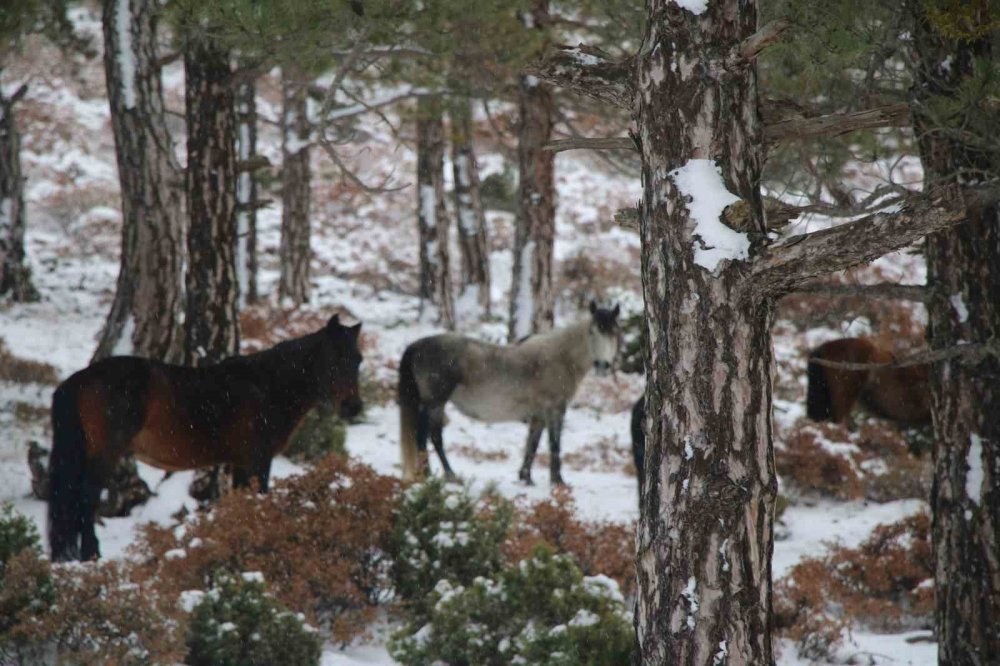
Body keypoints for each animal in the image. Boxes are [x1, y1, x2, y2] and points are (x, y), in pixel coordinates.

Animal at [49, 316, 364, 560]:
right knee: (86, 497)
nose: (354, 407)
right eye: (334, 357)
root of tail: (80, 378)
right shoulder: (258, 460)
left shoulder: (241, 463)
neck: (269, 386)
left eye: (358, 359)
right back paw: (91, 553)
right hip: (105, 454)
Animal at [396, 300, 616, 482]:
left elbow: (532, 444)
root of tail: (417, 346)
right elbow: (554, 444)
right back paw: (443, 475)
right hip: (435, 403)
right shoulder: (556, 410)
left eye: (614, 333)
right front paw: (557, 481)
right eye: (592, 332)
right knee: (431, 437)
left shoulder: (539, 415)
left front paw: (526, 478)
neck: (561, 358)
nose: (603, 365)